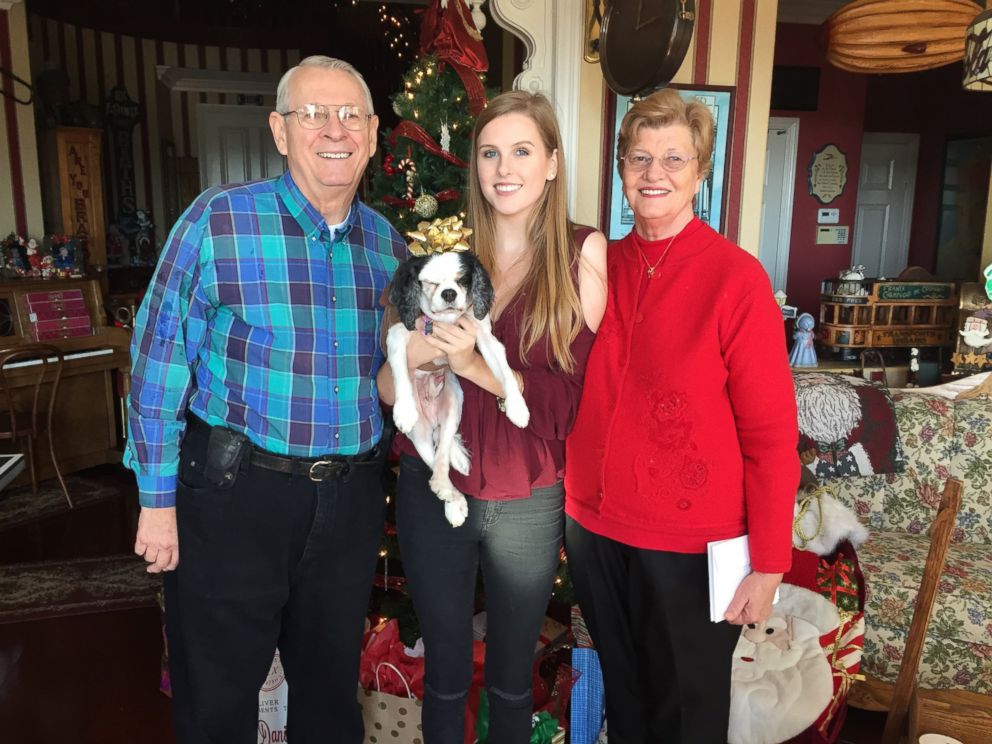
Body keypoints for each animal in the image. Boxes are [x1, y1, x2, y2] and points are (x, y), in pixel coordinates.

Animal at [388, 250, 532, 524]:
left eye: (462, 280)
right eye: (430, 282)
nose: (448, 293)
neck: (447, 322)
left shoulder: (485, 337)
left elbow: (505, 371)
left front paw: (518, 408)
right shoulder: (398, 333)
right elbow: (400, 366)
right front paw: (404, 411)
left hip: (454, 403)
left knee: (442, 451)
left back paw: (451, 497)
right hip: (419, 433)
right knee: (432, 458)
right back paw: (451, 497)